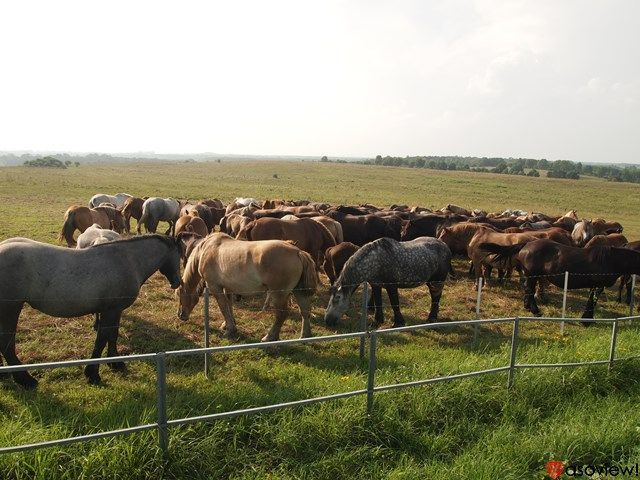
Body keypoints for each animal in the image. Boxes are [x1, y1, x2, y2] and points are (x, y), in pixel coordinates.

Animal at [0, 234, 182, 388]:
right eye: (180, 256)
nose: (177, 282)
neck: (128, 260)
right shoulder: (111, 311)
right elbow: (102, 339)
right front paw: (92, 373)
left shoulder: (115, 311)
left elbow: (113, 336)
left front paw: (115, 363)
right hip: (10, 309)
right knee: (7, 344)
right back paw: (25, 379)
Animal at [176, 233, 318, 342]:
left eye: (179, 294)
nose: (181, 315)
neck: (206, 249)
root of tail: (297, 252)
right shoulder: (228, 287)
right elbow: (229, 305)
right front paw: (227, 324)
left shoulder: (215, 287)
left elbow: (223, 306)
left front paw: (230, 330)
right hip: (298, 291)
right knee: (305, 311)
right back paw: (305, 336)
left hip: (279, 294)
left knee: (281, 315)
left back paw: (270, 337)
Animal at [322, 238, 452, 328]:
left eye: (337, 298)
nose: (327, 321)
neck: (376, 261)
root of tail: (445, 246)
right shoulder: (376, 285)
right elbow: (378, 303)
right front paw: (376, 322)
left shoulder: (391, 286)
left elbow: (395, 304)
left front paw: (398, 323)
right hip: (431, 282)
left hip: (437, 282)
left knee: (436, 297)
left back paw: (431, 318)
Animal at [480, 240, 640, 322]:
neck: (610, 260)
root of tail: (526, 244)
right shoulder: (597, 285)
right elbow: (592, 301)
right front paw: (586, 320)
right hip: (533, 274)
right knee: (530, 291)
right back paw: (535, 311)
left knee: (528, 290)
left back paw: (528, 307)